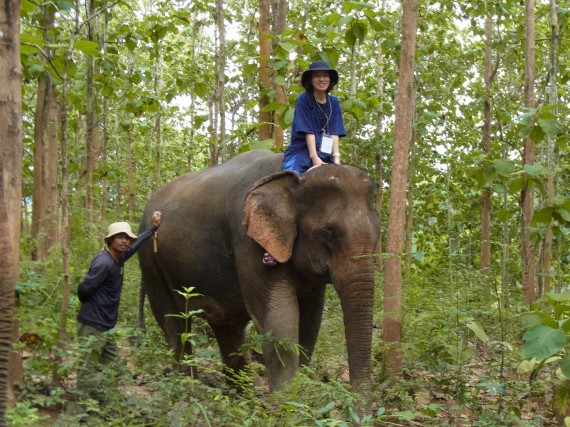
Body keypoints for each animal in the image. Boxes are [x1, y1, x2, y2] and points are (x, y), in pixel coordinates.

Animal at [136, 151, 378, 394]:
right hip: (150, 261)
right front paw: (286, 400)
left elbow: (310, 322)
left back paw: (241, 394)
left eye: (377, 230)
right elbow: (279, 319)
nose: (360, 400)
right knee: (173, 322)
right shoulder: (247, 237)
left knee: (227, 327)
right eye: (328, 233)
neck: (293, 178)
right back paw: (186, 387)